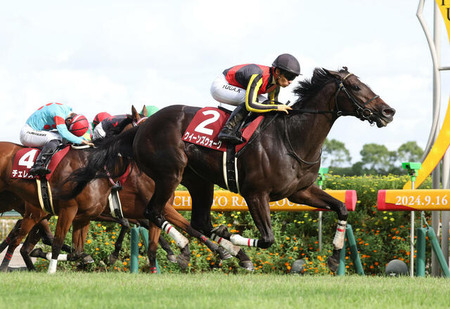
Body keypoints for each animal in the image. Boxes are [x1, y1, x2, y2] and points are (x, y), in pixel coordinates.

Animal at [65, 67, 396, 270]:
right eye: (356, 86)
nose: (388, 111)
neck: (292, 136)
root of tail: (142, 126)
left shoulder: (300, 191)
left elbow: (341, 208)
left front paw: (335, 256)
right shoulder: (255, 193)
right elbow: (268, 239)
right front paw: (236, 243)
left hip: (199, 181)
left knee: (197, 221)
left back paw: (223, 249)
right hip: (170, 174)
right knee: (155, 212)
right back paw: (196, 249)